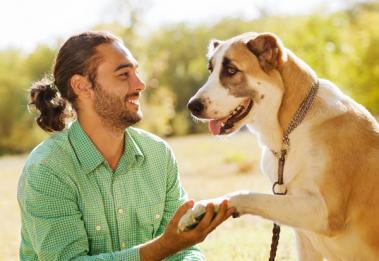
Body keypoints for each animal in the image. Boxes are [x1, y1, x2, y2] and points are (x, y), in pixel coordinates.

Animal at [180, 32, 379, 260]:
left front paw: (205, 207)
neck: (291, 129)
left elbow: (247, 194)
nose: (192, 106)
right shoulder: (305, 236)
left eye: (231, 70)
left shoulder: (325, 213)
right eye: (210, 70)